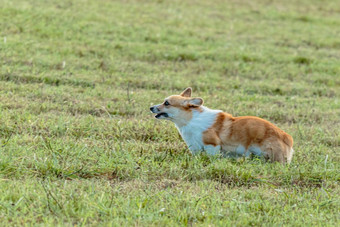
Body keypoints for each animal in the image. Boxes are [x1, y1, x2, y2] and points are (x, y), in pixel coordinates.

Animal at [150, 87, 294, 163]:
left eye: (166, 103)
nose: (151, 107)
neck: (190, 119)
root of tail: (287, 138)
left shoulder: (212, 144)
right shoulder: (195, 148)